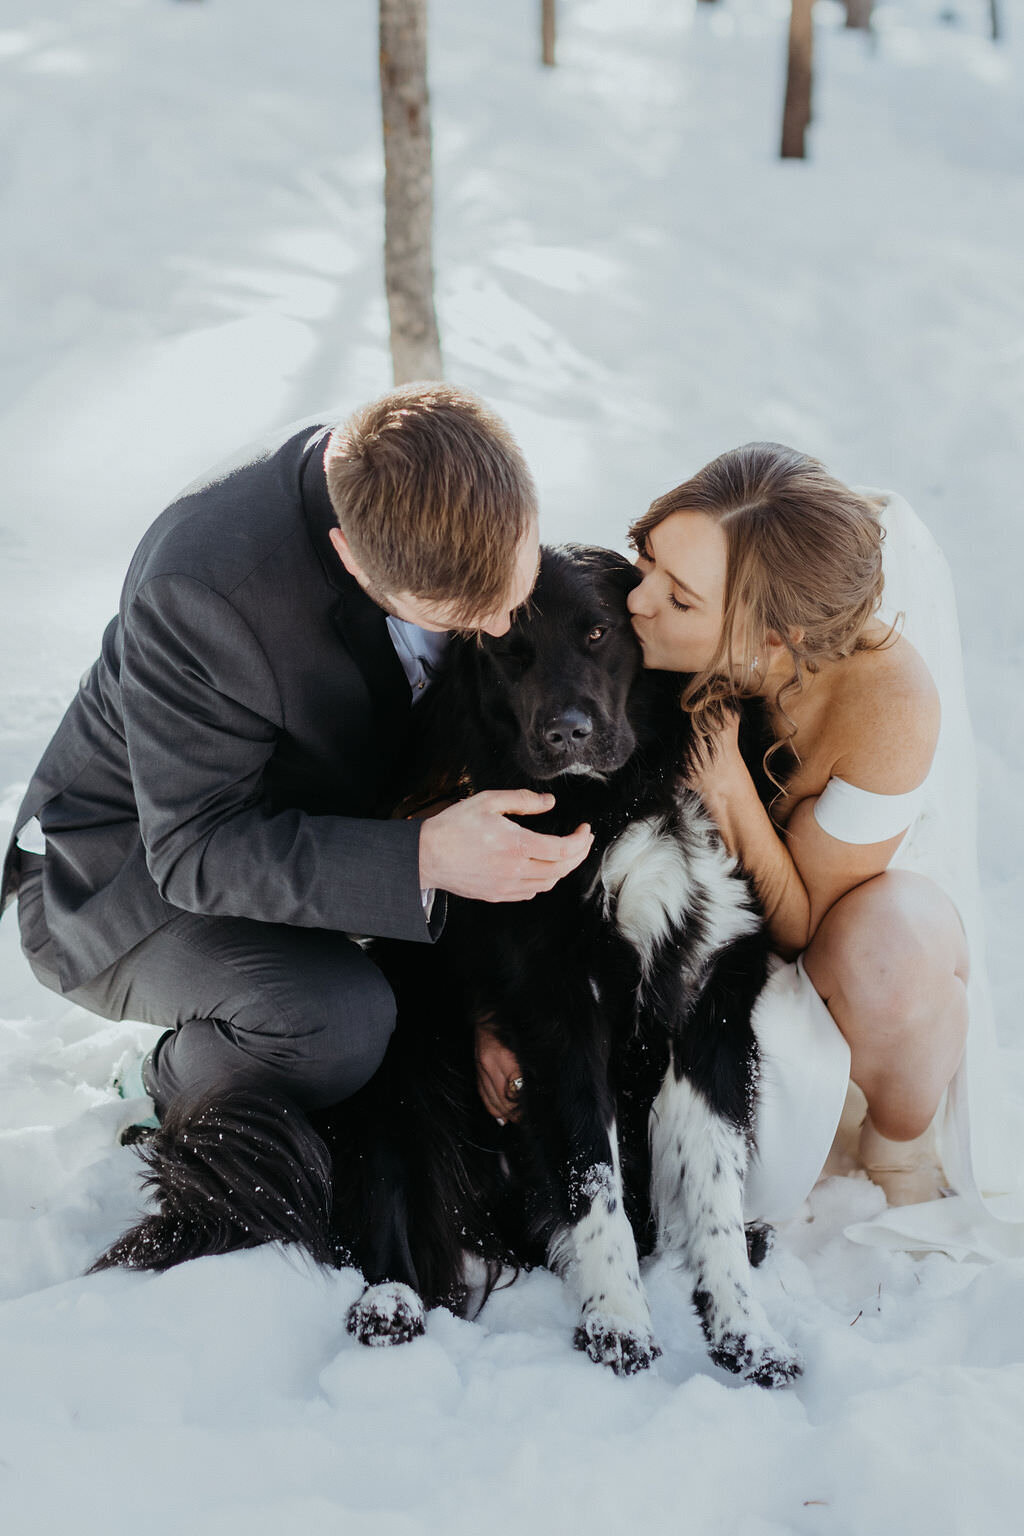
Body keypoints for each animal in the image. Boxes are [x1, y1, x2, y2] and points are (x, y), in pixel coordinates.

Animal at [94, 546, 798, 1388]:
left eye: (600, 632)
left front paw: (746, 1332)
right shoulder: (559, 1015)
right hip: (402, 1054)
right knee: (387, 1216)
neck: (624, 802)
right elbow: (592, 1178)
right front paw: (618, 1322)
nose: (565, 733)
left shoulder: (711, 1005)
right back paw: (388, 1304)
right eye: (507, 652)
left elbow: (714, 1188)